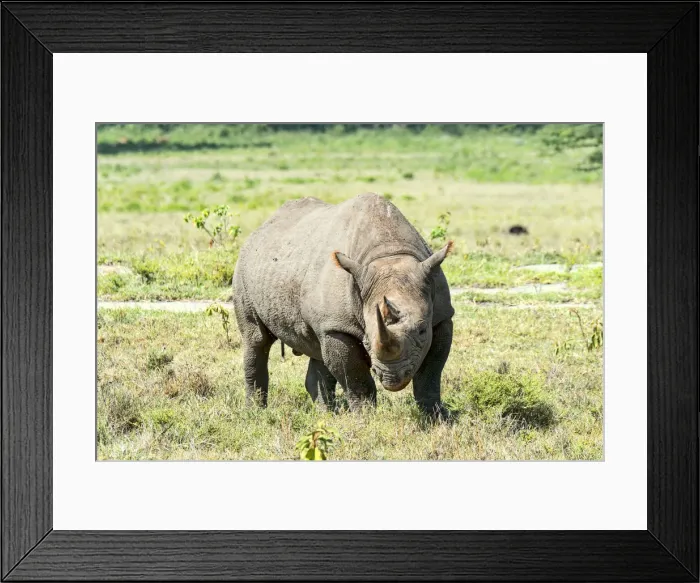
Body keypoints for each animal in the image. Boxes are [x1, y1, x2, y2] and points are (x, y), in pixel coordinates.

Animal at [232, 192, 454, 417]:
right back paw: (255, 413)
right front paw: (365, 418)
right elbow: (356, 379)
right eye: (366, 341)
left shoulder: (442, 316)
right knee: (256, 340)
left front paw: (436, 417)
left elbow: (430, 375)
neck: (389, 254)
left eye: (422, 331)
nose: (392, 377)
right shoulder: (337, 325)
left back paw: (327, 415)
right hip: (243, 269)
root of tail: (260, 228)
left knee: (317, 351)